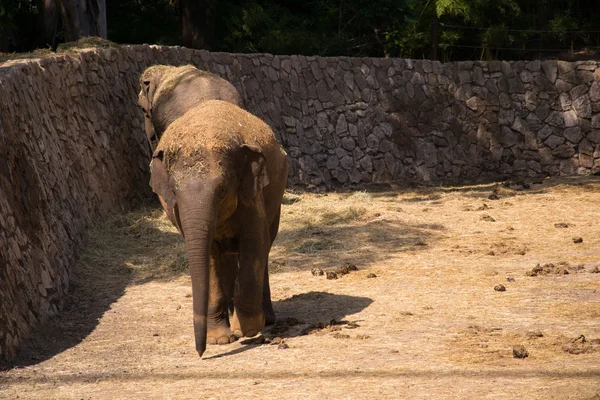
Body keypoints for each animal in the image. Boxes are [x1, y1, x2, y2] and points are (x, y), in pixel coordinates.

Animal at [151, 99, 290, 356]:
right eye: (173, 191)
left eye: (223, 189)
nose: (200, 352)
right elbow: (209, 257)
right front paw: (220, 340)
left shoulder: (252, 194)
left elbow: (256, 242)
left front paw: (247, 329)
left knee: (265, 245)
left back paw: (266, 320)